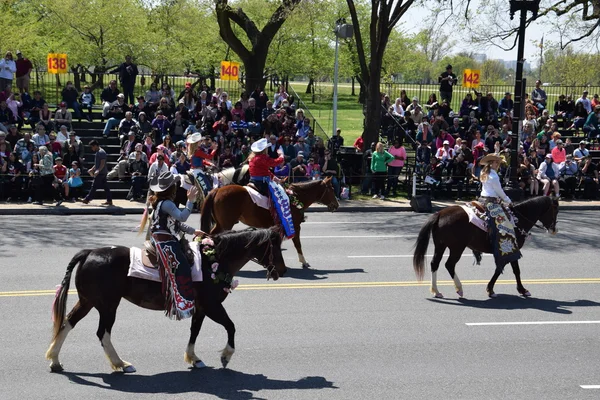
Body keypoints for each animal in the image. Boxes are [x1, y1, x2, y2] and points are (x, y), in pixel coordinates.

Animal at [45, 227, 286, 374]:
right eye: (275, 246)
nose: (282, 270)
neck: (214, 260)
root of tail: (88, 252)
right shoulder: (212, 305)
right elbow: (231, 326)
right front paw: (226, 356)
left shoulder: (200, 307)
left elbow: (195, 331)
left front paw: (194, 358)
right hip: (108, 305)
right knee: (102, 333)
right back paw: (120, 363)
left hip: (87, 301)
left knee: (67, 323)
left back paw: (55, 360)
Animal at [202, 178, 340, 268]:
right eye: (332, 189)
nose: (337, 205)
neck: (294, 198)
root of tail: (217, 190)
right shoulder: (295, 226)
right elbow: (298, 244)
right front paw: (303, 261)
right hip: (226, 224)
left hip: (220, 224)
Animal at [412, 195, 556, 298]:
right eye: (554, 210)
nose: (554, 230)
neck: (517, 219)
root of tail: (440, 214)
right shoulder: (509, 249)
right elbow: (511, 269)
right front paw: (516, 290)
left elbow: (510, 269)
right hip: (457, 248)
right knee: (449, 265)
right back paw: (459, 289)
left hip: (441, 246)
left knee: (435, 264)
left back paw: (436, 291)